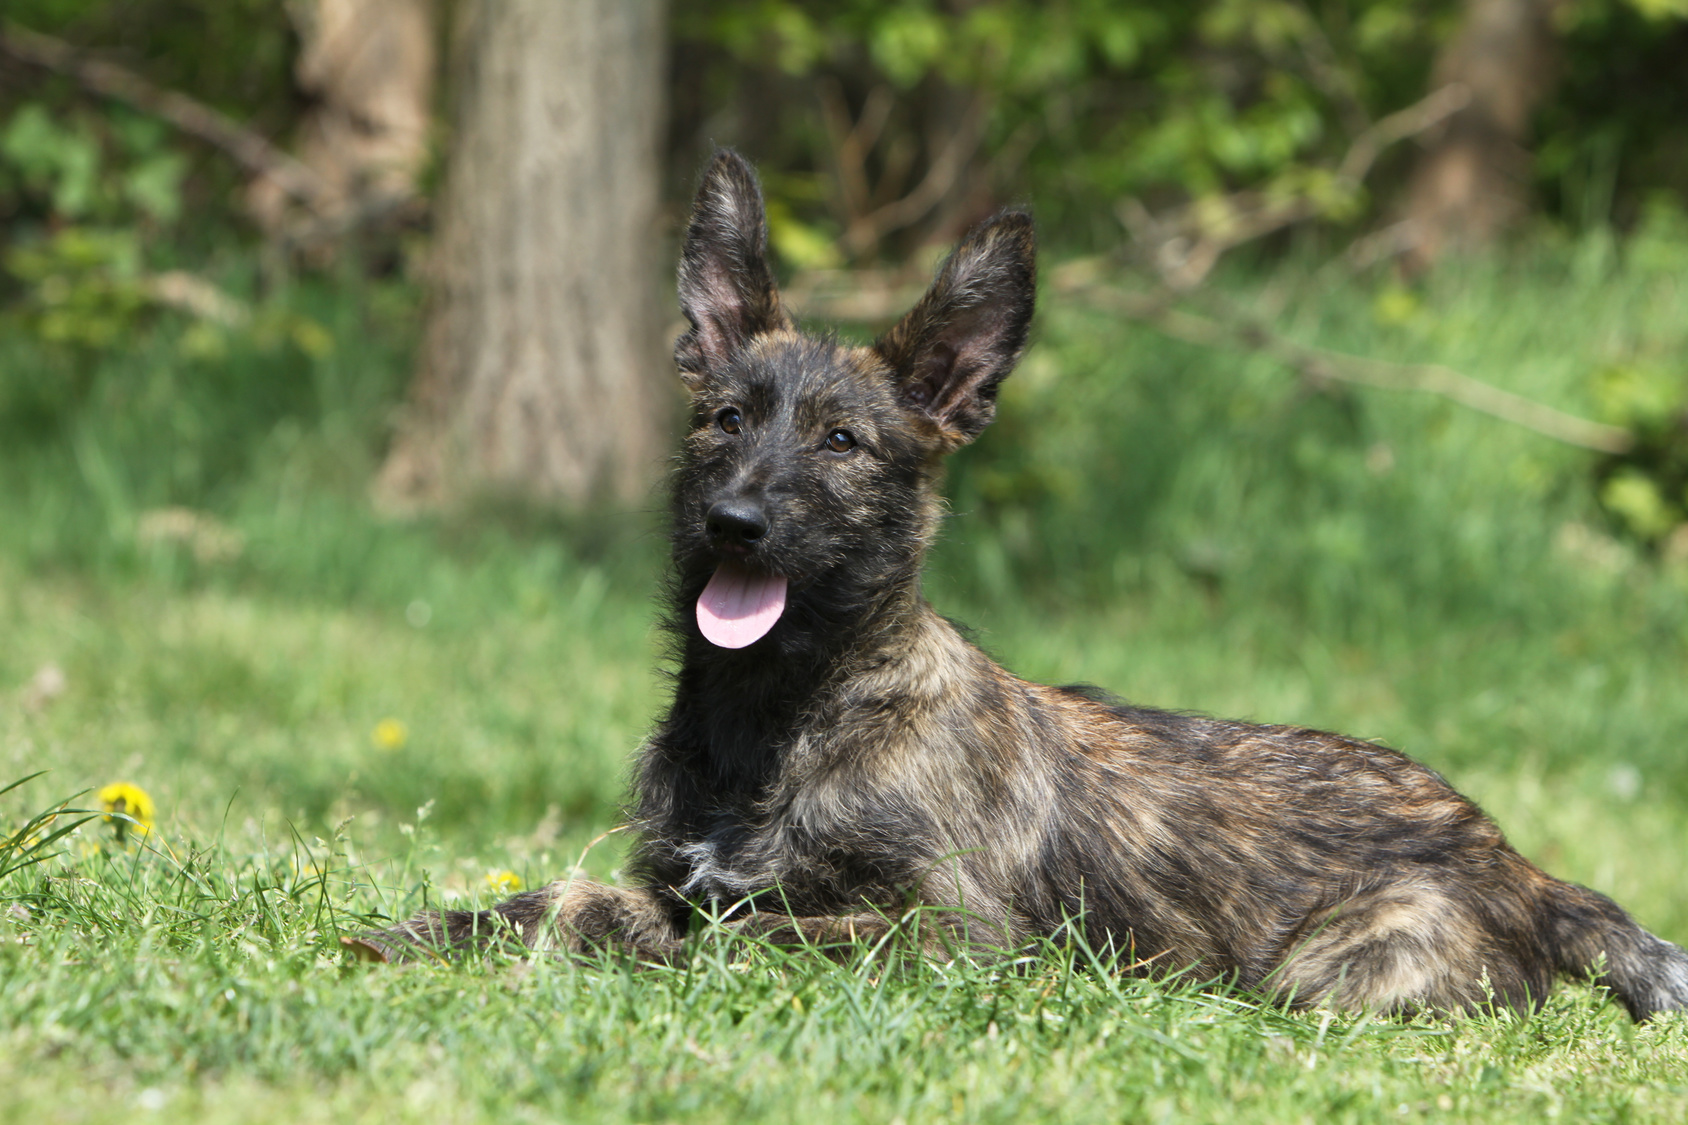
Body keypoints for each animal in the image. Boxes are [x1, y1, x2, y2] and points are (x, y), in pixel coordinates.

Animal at [346, 148, 1688, 1013]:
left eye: (843, 443)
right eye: (724, 420)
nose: (734, 526)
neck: (783, 713)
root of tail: (1519, 860)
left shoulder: (951, 937)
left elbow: (744, 938)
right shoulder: (677, 878)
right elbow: (567, 900)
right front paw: (420, 934)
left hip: (1335, 975)